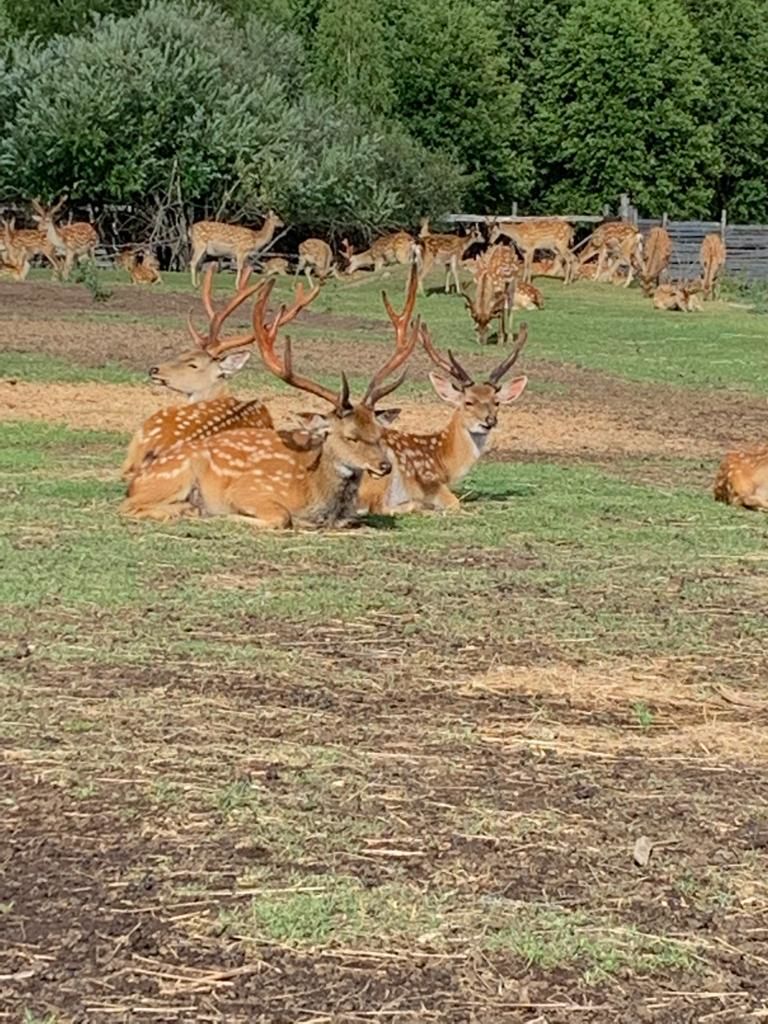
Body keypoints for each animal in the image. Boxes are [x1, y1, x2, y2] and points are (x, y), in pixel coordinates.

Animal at [356, 321, 528, 516]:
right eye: (468, 402)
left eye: (496, 402)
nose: (490, 421)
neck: (443, 463)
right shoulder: (430, 481)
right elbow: (455, 502)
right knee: (379, 506)